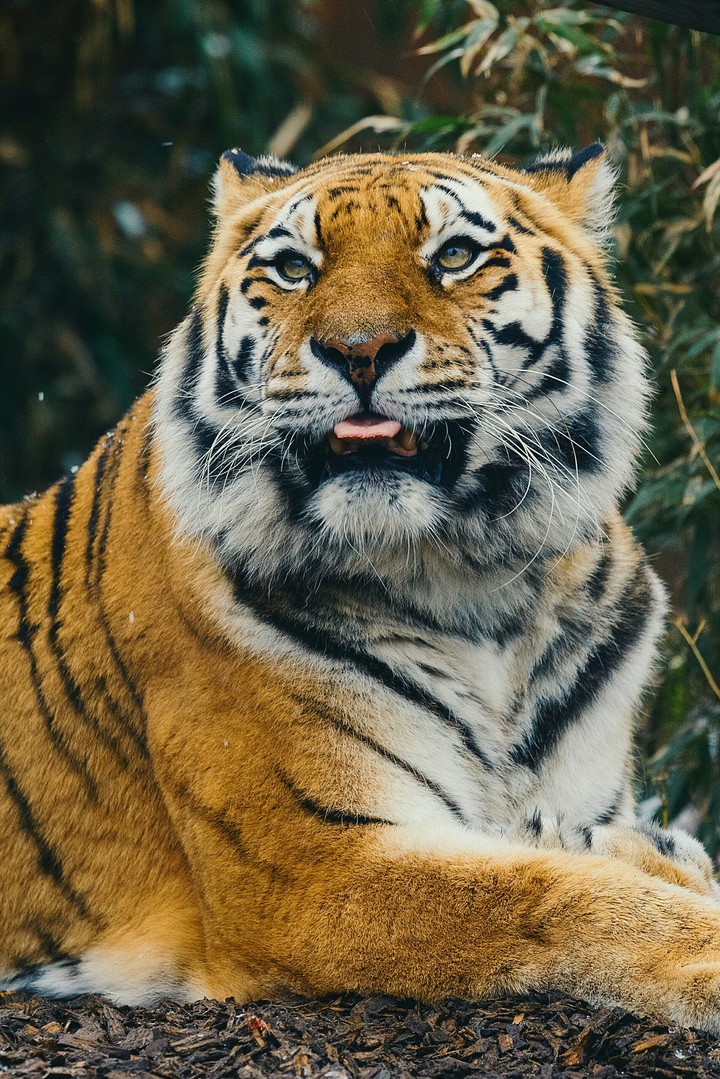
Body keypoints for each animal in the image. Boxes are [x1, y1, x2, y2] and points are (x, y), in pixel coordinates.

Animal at [1, 143, 720, 1031]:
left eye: (455, 255)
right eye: (293, 268)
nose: (358, 349)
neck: (470, 581)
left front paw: (649, 848)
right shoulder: (316, 865)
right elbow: (563, 894)